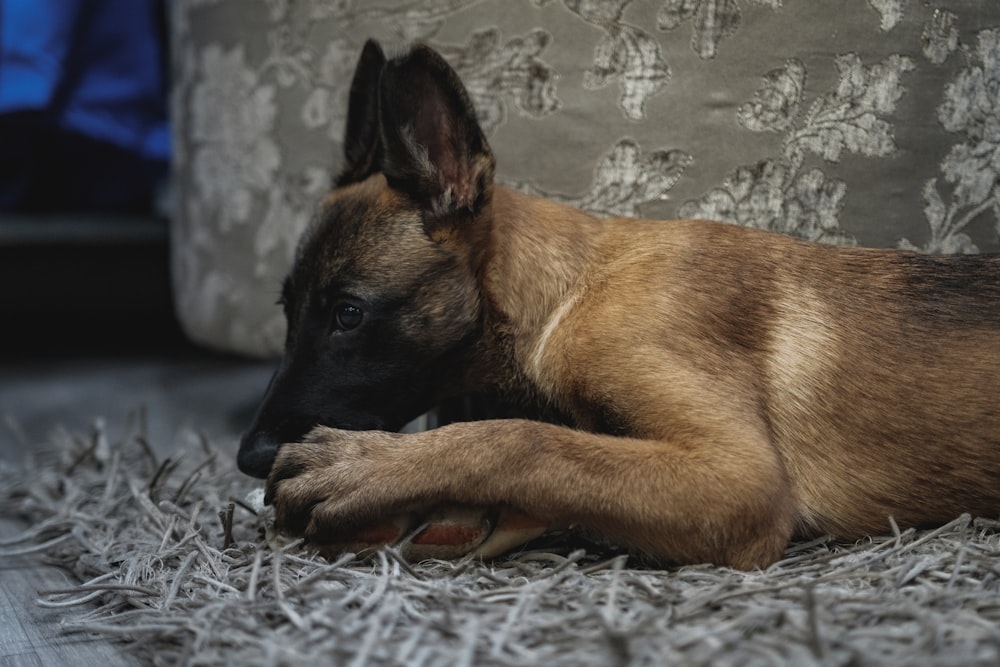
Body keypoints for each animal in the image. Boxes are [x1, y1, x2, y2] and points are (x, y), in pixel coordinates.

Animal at [240, 37, 1000, 568]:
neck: (565, 294)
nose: (248, 456)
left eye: (347, 314)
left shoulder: (739, 479)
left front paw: (367, 467)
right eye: (286, 311)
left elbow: (524, 439)